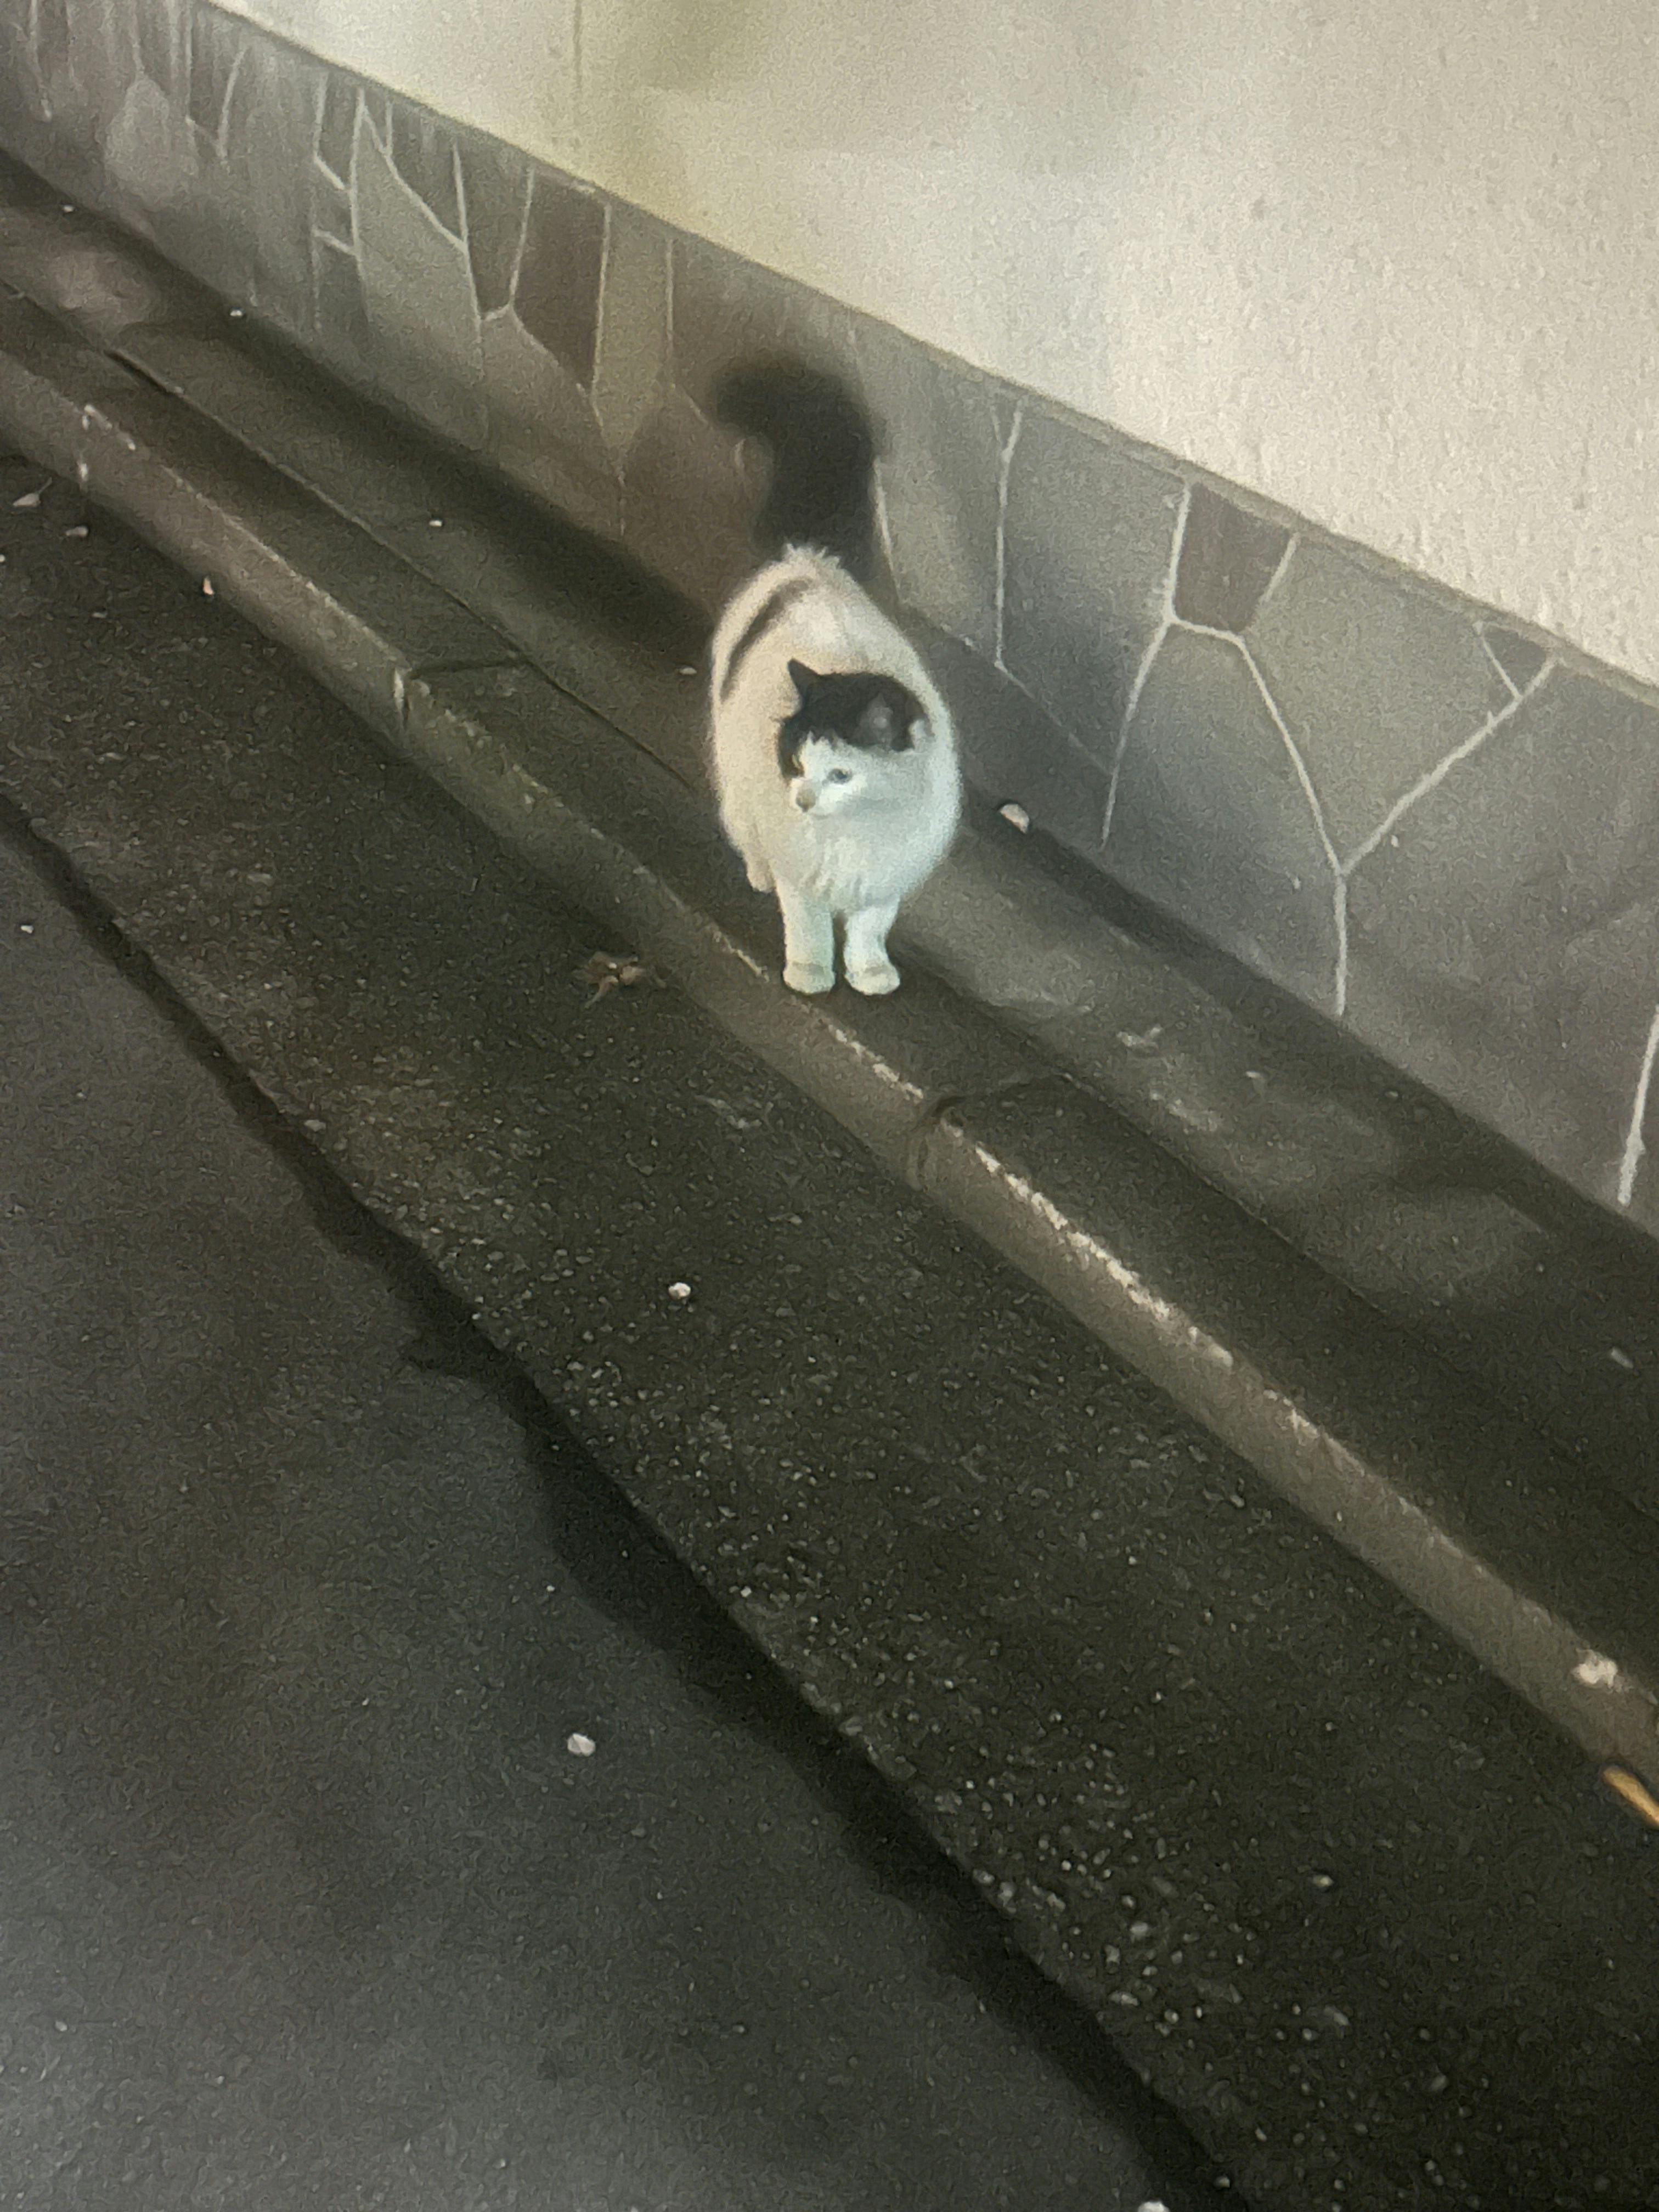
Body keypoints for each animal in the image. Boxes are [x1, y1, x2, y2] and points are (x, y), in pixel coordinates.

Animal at [708, 363, 961, 996]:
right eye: (797, 763)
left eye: (841, 774)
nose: (802, 799)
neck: (855, 830)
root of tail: (807, 559)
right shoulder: (804, 872)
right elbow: (810, 927)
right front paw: (810, 974)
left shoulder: (883, 878)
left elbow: (870, 930)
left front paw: (871, 974)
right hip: (735, 776)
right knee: (745, 830)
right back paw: (757, 873)